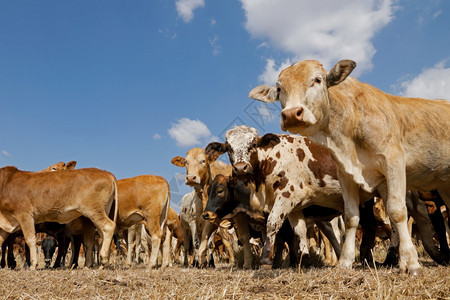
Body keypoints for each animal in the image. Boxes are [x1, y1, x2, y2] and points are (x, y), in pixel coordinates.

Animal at [206, 125, 342, 268]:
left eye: (254, 144)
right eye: (229, 148)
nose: (241, 168)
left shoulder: (286, 197)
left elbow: (273, 226)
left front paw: (267, 261)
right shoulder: (295, 207)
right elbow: (299, 231)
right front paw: (303, 262)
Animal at [250, 58, 450, 274]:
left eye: (317, 80)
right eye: (279, 89)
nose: (291, 114)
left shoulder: (393, 163)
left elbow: (397, 212)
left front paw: (411, 263)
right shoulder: (346, 175)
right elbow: (351, 218)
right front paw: (345, 261)